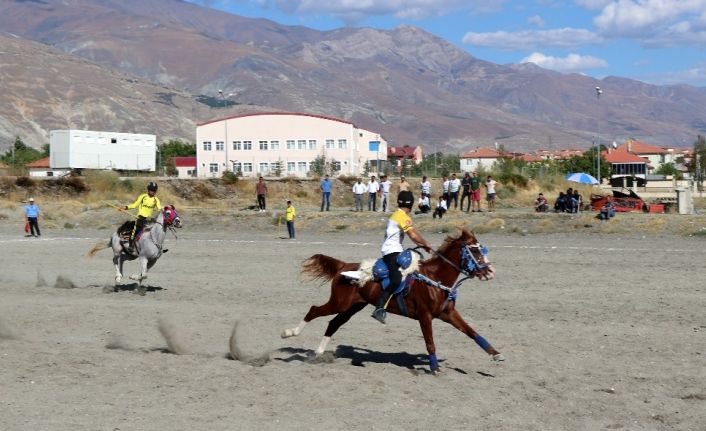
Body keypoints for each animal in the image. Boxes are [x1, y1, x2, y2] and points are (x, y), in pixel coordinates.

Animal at [280, 228, 500, 372]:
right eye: (475, 251)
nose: (491, 272)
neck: (435, 278)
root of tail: (343, 266)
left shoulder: (448, 313)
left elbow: (472, 332)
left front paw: (496, 353)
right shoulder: (425, 316)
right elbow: (430, 342)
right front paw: (435, 367)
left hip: (353, 306)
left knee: (334, 323)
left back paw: (318, 352)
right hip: (339, 302)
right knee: (314, 310)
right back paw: (289, 333)